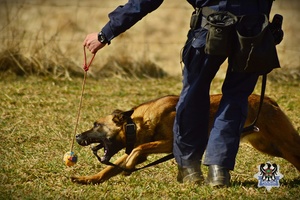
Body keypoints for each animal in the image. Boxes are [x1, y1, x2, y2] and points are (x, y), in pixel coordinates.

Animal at [71, 94, 300, 184]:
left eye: (96, 125)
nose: (77, 135)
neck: (137, 123)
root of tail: (268, 100)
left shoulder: (170, 143)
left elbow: (137, 150)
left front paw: (129, 167)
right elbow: (108, 169)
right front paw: (88, 179)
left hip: (284, 145)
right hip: (269, 146)